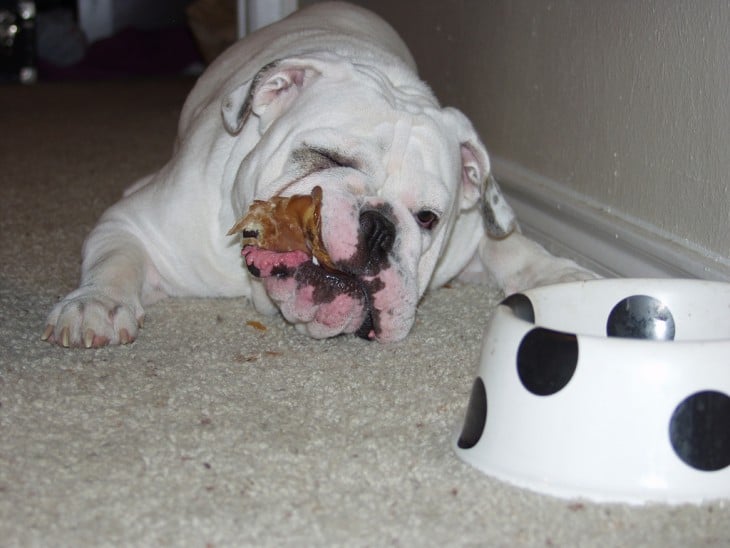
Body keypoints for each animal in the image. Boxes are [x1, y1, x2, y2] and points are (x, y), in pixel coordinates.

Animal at [42, 2, 596, 348]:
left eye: (428, 219)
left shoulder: (470, 237)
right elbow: (116, 258)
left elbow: (511, 246)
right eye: (325, 159)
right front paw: (97, 305)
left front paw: (561, 277)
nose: (378, 226)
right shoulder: (133, 222)